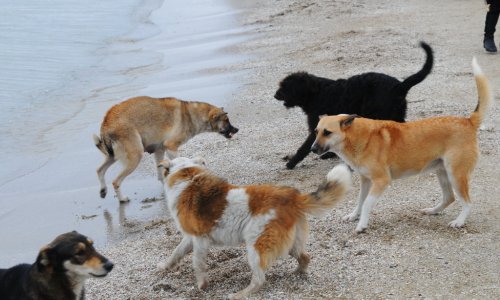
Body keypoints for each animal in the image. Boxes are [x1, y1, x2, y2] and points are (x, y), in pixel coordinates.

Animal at [95, 97, 240, 203]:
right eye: (226, 120)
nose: (237, 129)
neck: (190, 115)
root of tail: (107, 122)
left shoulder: (159, 151)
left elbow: (160, 172)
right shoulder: (171, 148)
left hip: (112, 156)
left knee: (99, 170)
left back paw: (103, 190)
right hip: (135, 156)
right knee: (116, 182)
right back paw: (122, 199)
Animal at [157, 157, 352, 298]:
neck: (186, 175)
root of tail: (292, 197)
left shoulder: (200, 240)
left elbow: (197, 263)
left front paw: (201, 284)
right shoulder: (190, 238)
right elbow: (176, 252)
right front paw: (165, 267)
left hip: (256, 246)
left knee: (259, 279)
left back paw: (238, 294)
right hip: (289, 243)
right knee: (305, 257)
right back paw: (298, 272)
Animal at [276, 42, 432, 169]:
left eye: (285, 87)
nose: (275, 95)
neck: (317, 93)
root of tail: (399, 86)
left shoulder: (317, 125)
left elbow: (305, 147)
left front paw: (291, 163)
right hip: (396, 114)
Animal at [310, 58, 494, 232]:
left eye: (327, 132)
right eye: (316, 131)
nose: (312, 149)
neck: (359, 137)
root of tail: (468, 121)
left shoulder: (381, 180)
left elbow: (367, 203)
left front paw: (362, 225)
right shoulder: (366, 180)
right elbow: (360, 201)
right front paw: (354, 216)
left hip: (456, 174)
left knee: (467, 202)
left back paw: (459, 222)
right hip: (442, 172)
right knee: (450, 197)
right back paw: (432, 211)